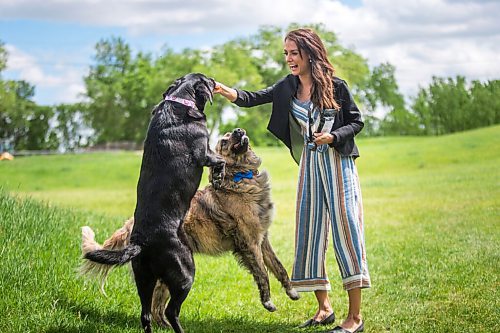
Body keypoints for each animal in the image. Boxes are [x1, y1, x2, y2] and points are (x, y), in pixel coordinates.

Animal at [81, 128, 298, 326]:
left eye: (231, 134)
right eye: (224, 141)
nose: (239, 130)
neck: (239, 177)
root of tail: (131, 227)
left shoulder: (263, 240)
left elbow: (279, 267)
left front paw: (292, 291)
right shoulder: (249, 244)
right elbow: (262, 273)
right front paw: (268, 302)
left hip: (165, 277)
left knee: (155, 307)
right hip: (179, 272)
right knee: (158, 308)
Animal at [83, 73, 225, 332]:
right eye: (207, 80)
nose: (214, 80)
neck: (180, 101)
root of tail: (141, 243)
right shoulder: (204, 152)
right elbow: (220, 160)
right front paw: (219, 175)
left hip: (144, 279)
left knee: (146, 315)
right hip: (185, 272)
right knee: (171, 311)